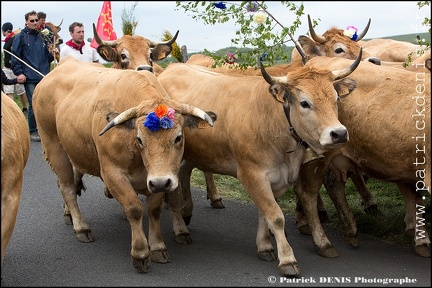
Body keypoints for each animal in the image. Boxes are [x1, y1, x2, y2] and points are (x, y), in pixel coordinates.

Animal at [32, 56, 216, 272]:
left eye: (178, 137)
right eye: (140, 139)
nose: (160, 183)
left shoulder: (158, 178)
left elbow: (154, 210)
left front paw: (158, 247)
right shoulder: (113, 173)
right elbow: (134, 209)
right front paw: (140, 253)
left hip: (75, 151)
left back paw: (68, 213)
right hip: (54, 146)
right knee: (67, 187)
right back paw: (81, 227)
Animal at [157, 51, 362, 274]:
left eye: (336, 99)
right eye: (305, 103)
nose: (339, 133)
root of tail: (172, 68)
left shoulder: (277, 178)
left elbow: (265, 213)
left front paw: (264, 246)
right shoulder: (252, 174)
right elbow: (276, 215)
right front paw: (287, 259)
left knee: (184, 175)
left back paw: (186, 213)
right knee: (173, 192)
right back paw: (181, 230)